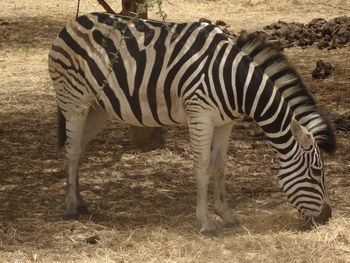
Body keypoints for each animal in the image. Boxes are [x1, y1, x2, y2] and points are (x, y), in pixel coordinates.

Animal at [48, 12, 336, 235]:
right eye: (316, 172)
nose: (327, 217)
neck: (237, 83)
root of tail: (73, 22)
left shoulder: (225, 123)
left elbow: (220, 167)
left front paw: (226, 215)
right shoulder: (200, 116)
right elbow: (203, 168)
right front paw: (206, 223)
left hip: (98, 108)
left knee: (79, 149)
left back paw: (80, 202)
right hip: (74, 99)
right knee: (72, 151)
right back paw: (70, 208)